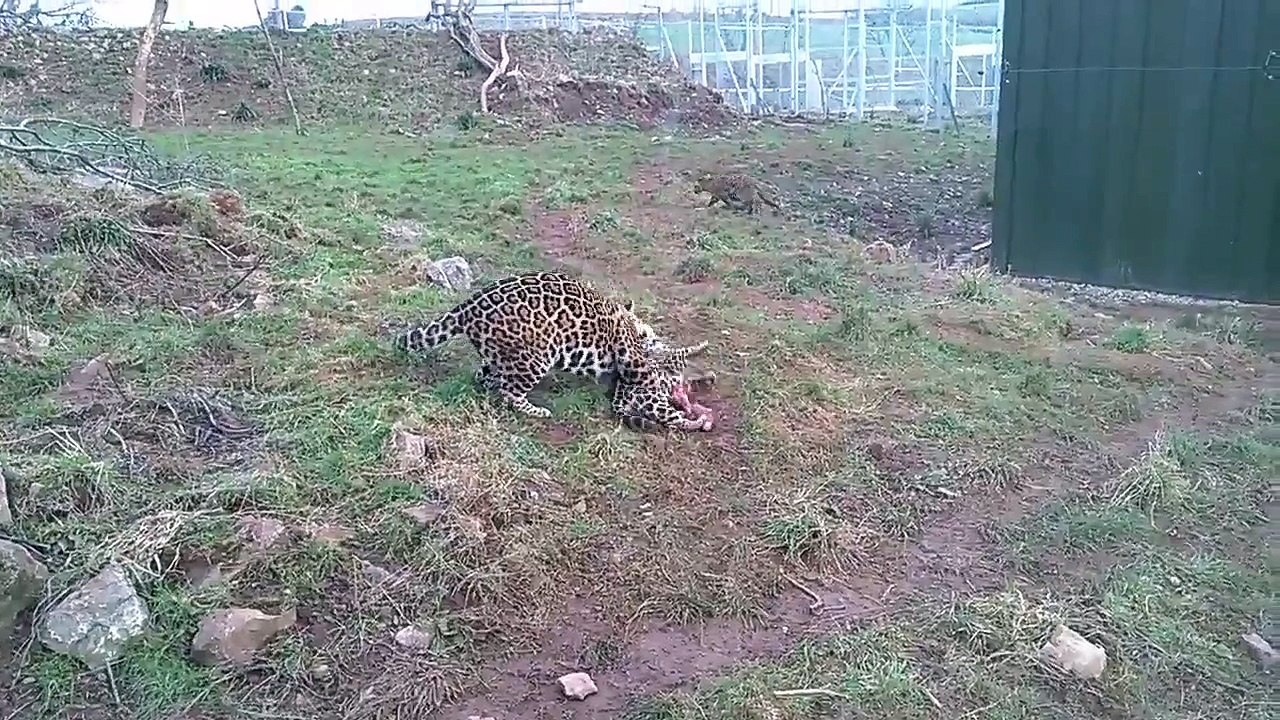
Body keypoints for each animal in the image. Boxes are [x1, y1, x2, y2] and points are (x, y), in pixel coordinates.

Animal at [393, 271, 709, 428]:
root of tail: (467, 307)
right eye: (647, 334)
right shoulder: (630, 356)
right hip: (536, 358)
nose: (653, 338)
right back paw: (537, 411)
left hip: (501, 352)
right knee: (510, 392)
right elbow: (649, 370)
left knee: (485, 375)